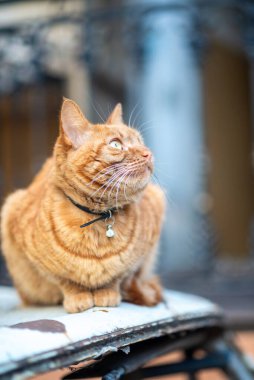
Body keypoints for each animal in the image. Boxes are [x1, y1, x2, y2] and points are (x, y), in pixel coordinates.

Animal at [0, 97, 166, 312]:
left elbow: (119, 276)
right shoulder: (33, 256)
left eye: (139, 141)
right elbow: (65, 280)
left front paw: (108, 292)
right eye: (116, 144)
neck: (98, 216)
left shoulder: (139, 256)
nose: (148, 153)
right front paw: (77, 296)